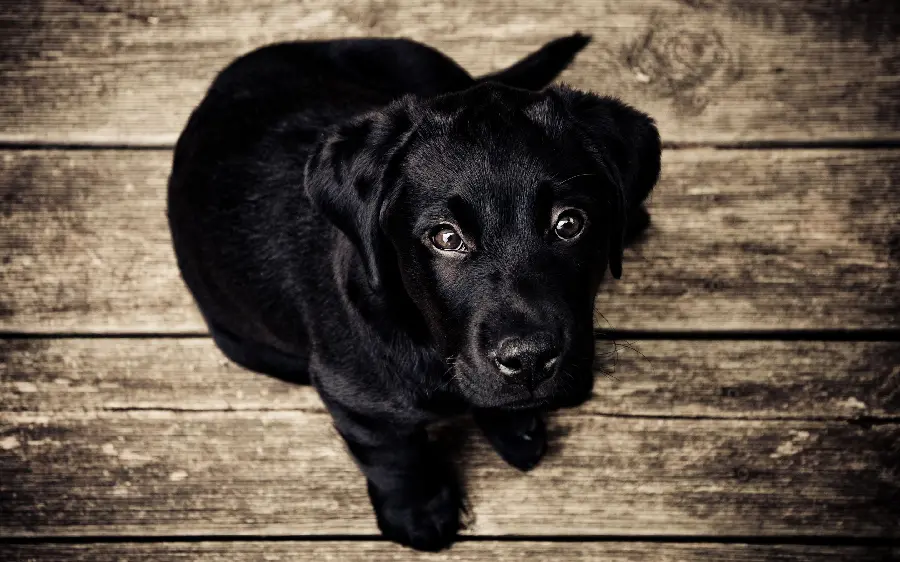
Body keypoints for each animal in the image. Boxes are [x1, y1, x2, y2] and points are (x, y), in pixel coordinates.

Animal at [171, 32, 660, 548]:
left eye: (569, 224)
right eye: (446, 238)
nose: (528, 360)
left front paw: (513, 424)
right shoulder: (354, 399)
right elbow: (394, 456)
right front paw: (419, 512)